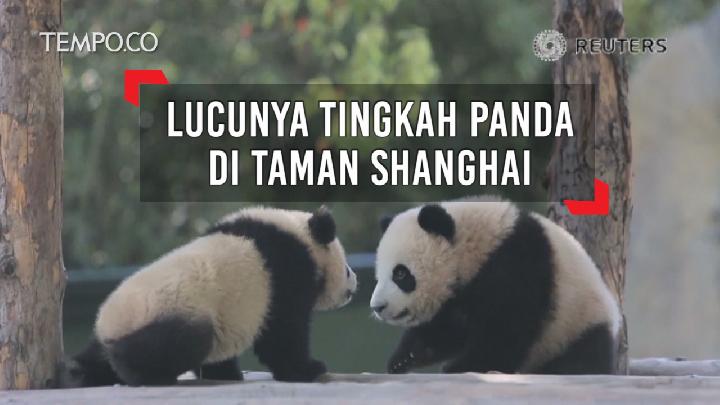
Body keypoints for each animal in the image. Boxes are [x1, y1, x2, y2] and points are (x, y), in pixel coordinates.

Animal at [66, 206, 357, 386]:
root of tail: (109, 327)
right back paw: (145, 374)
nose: (354, 283)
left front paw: (228, 374)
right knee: (184, 341)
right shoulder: (286, 271)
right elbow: (283, 333)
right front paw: (309, 368)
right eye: (345, 268)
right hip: (168, 314)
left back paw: (78, 374)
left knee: (92, 359)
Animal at [370, 198, 621, 375]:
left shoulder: (517, 265)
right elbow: (445, 330)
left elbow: (506, 327)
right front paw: (401, 359)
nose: (377, 307)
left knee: (581, 357)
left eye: (400, 274)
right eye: (379, 276)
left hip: (575, 324)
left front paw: (462, 366)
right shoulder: (460, 293)